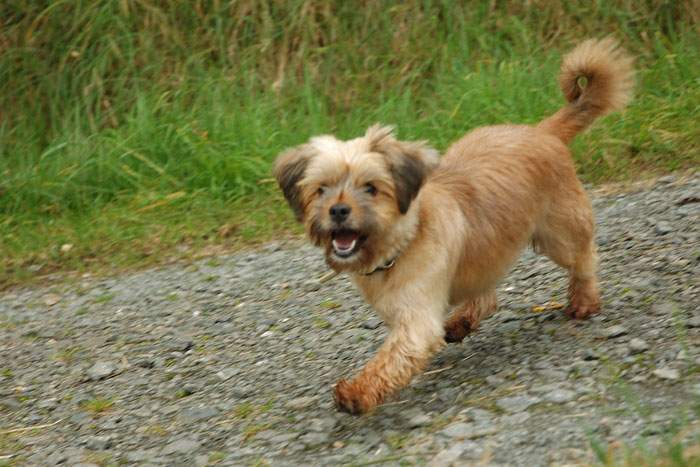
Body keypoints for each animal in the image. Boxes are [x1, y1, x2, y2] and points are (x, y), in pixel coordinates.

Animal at [274, 38, 636, 414]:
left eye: (371, 188)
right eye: (321, 189)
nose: (339, 210)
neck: (401, 245)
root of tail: (542, 132)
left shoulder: (417, 322)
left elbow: (390, 359)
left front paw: (357, 393)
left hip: (560, 234)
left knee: (584, 258)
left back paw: (584, 300)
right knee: (488, 295)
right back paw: (464, 320)